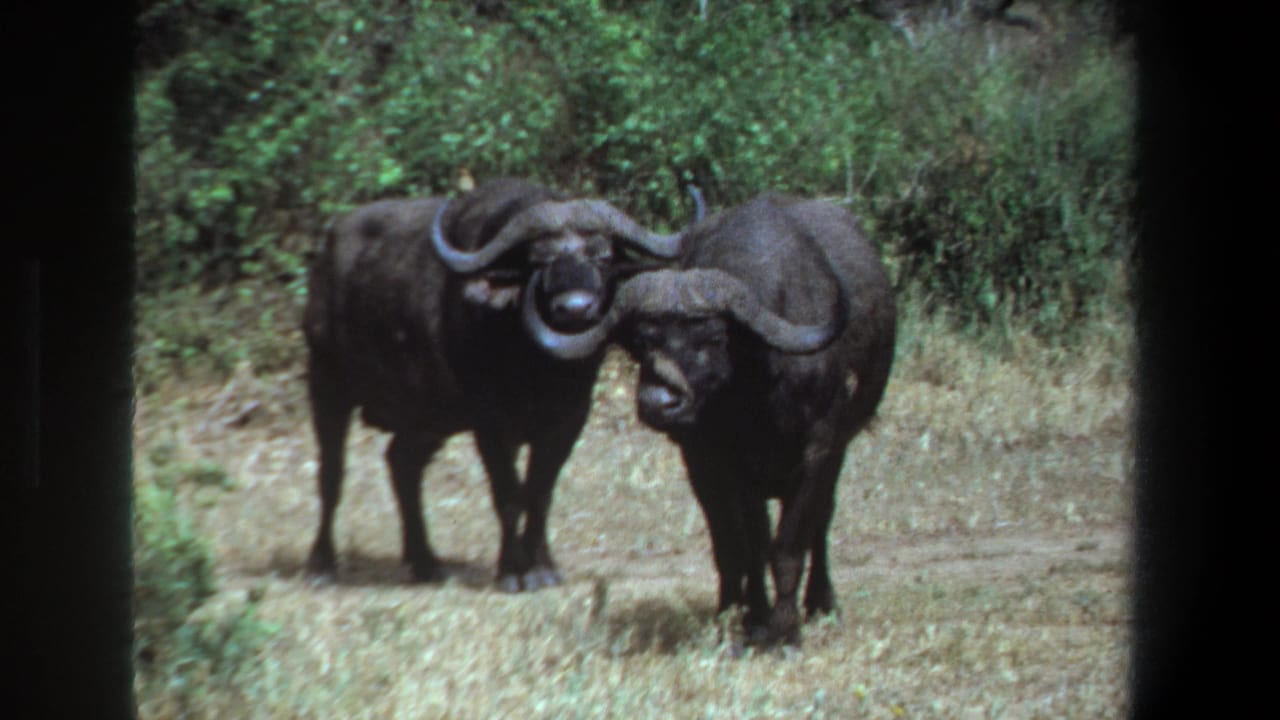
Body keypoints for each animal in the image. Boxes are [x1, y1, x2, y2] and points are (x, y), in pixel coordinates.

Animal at [302, 177, 698, 591]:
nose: (575, 309)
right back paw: (321, 564)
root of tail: (328, 250)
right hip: (326, 382)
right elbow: (508, 495)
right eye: (539, 261)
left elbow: (539, 493)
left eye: (602, 257)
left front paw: (541, 566)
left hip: (427, 417)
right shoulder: (491, 424)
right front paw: (512, 570)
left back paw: (425, 562)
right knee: (332, 473)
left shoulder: (568, 421)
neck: (538, 366)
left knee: (402, 463)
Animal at [530, 193, 897, 643]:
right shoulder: (716, 462)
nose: (658, 402)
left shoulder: (821, 450)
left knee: (821, 523)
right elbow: (744, 545)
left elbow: (790, 544)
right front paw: (752, 620)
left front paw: (785, 630)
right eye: (645, 340)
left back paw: (821, 602)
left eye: (713, 337)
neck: (757, 393)